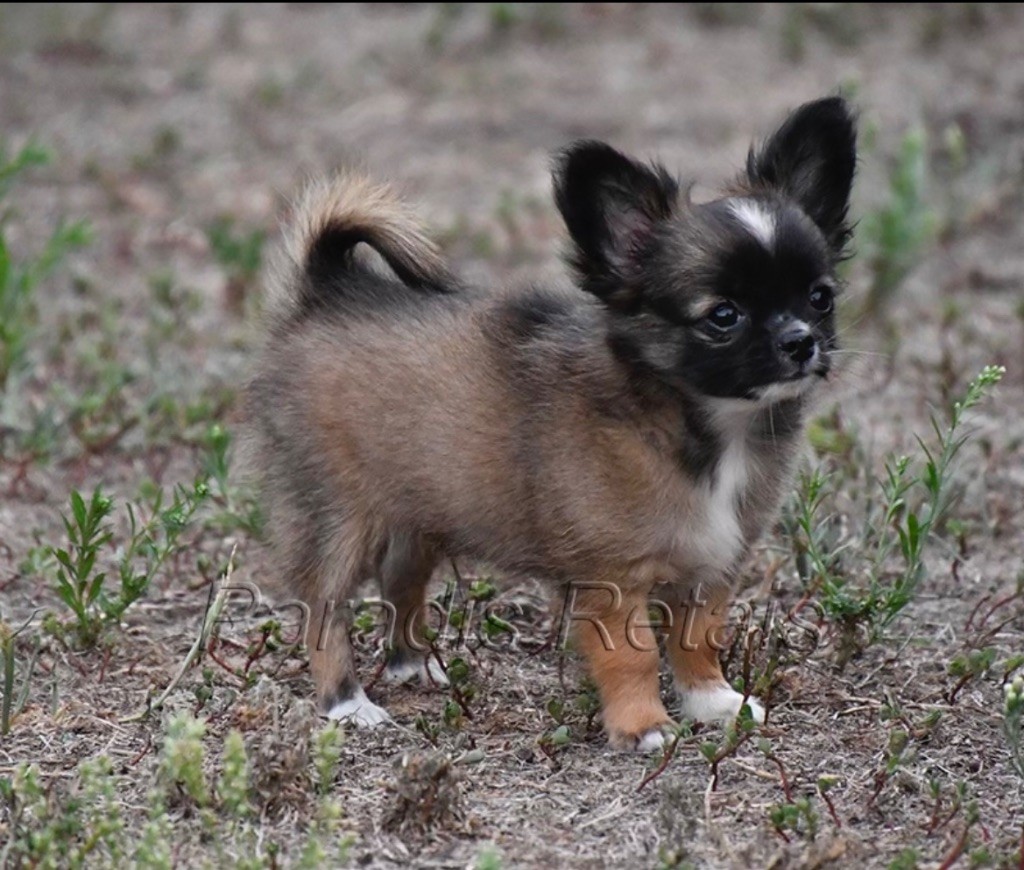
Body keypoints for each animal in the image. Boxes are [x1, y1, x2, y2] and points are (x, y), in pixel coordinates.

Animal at [247, 95, 856, 745]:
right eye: (723, 316)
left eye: (820, 297)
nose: (801, 342)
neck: (707, 426)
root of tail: (328, 291)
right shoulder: (615, 579)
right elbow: (634, 654)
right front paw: (645, 726)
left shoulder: (713, 566)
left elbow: (697, 639)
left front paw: (711, 700)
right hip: (335, 518)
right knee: (323, 608)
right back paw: (346, 701)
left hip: (421, 510)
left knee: (400, 581)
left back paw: (413, 665)